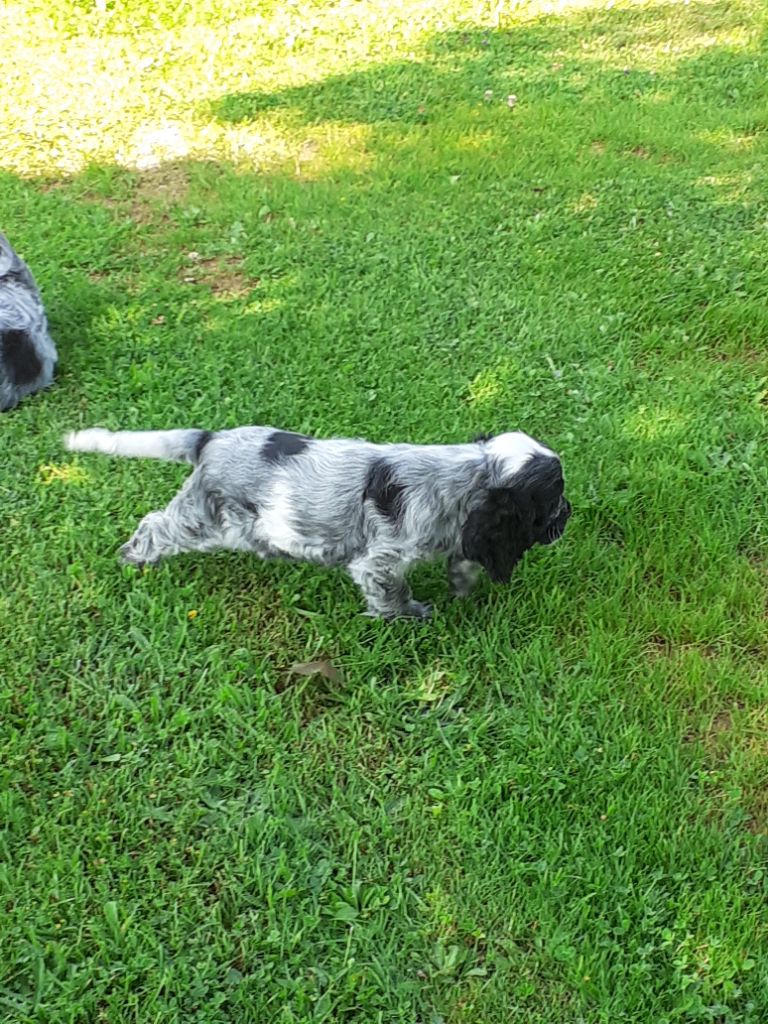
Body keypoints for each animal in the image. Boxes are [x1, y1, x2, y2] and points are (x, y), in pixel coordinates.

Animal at [65, 425, 571, 618]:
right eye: (554, 499)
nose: (568, 515)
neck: (467, 472)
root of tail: (210, 439)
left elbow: (463, 560)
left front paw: (463, 588)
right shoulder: (380, 562)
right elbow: (391, 592)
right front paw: (410, 614)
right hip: (204, 520)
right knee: (154, 525)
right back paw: (133, 557)